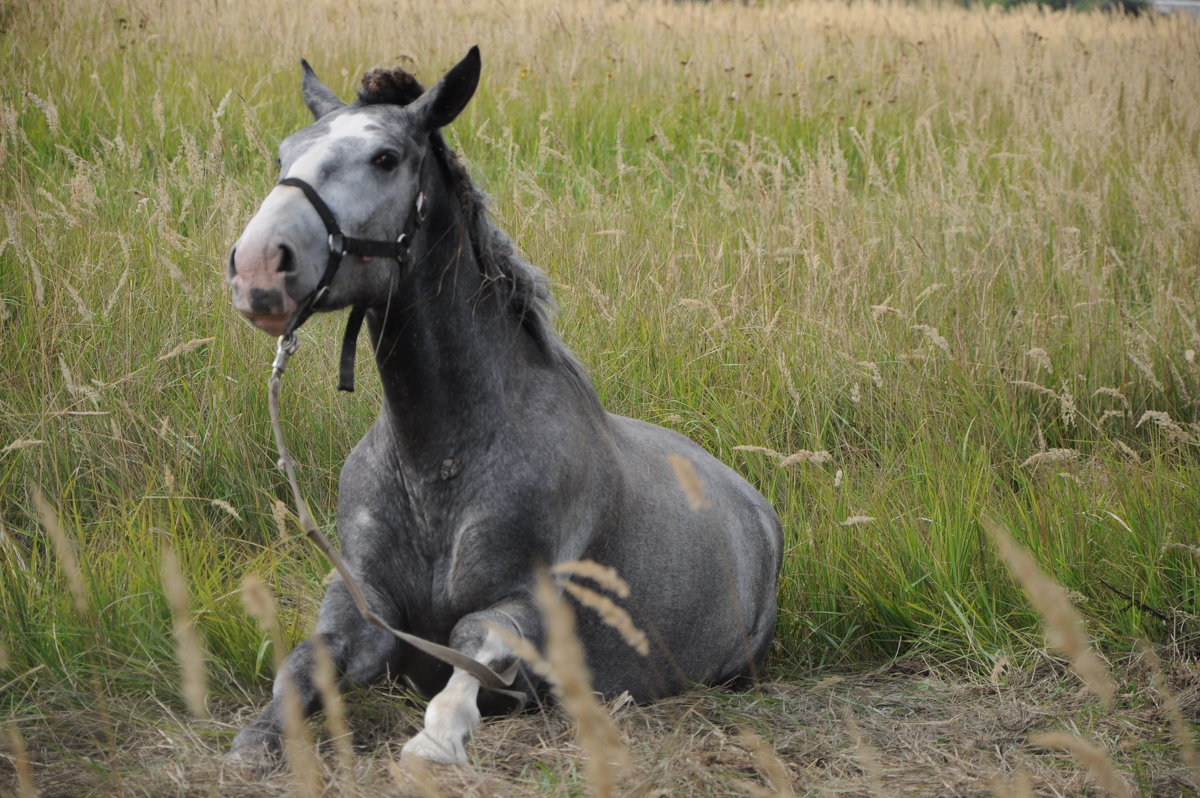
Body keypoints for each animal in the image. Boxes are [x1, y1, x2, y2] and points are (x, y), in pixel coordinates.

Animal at [225, 48, 782, 768]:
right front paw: (258, 740)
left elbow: (474, 650)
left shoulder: (523, 602)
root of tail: (755, 505)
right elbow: (301, 667)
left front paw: (436, 740)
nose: (258, 267)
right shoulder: (362, 602)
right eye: (285, 152)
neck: (440, 457)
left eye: (385, 158)